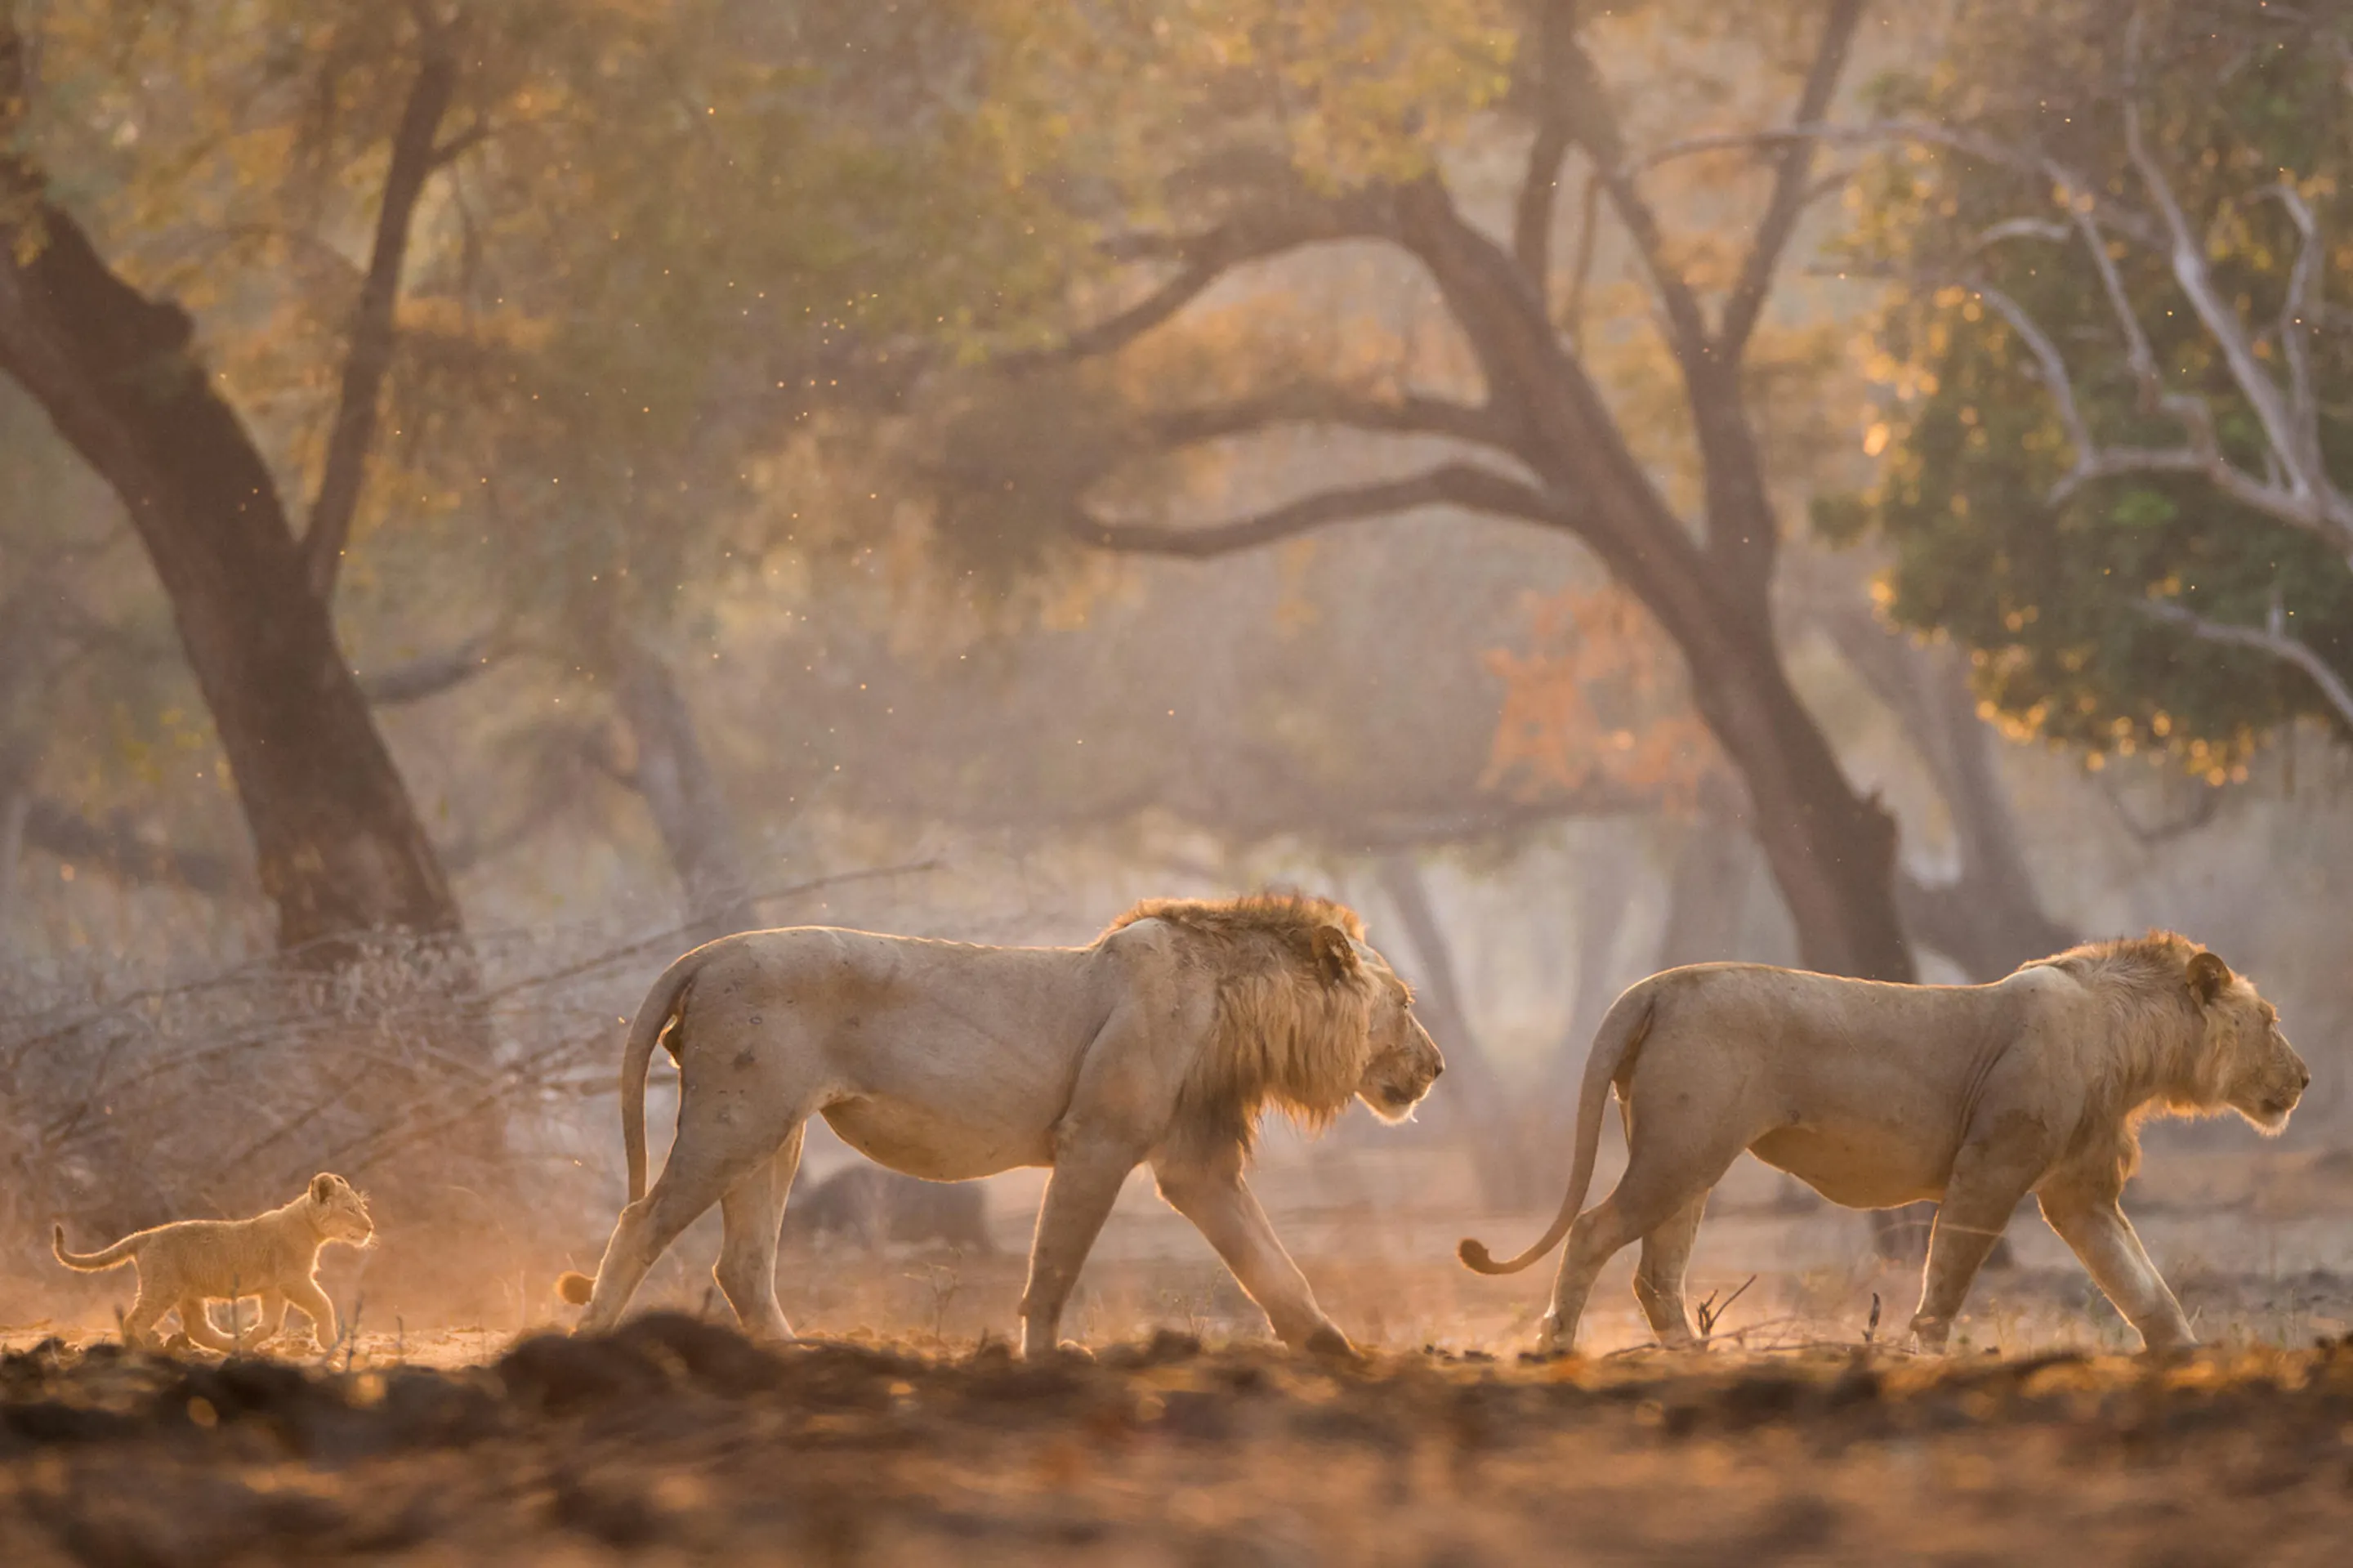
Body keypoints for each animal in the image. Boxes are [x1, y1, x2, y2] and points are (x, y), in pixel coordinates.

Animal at [53, 1173, 375, 1352]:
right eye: (350, 1209)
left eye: (361, 1207)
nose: (370, 1227)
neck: (309, 1226)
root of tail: (146, 1235)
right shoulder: (293, 1278)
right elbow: (323, 1303)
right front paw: (329, 1339)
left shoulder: (273, 1288)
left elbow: (270, 1324)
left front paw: (250, 1338)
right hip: (162, 1287)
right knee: (136, 1320)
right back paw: (145, 1348)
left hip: (189, 1294)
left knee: (199, 1329)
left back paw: (232, 1344)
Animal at [554, 892, 1443, 1358]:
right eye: (1404, 1002)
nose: (1437, 1067)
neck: (1239, 1007)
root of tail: (707, 951)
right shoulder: (1098, 1139)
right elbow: (1055, 1261)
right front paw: (1046, 1357)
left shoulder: (1197, 1163)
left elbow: (1272, 1263)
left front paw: (1337, 1350)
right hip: (737, 1117)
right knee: (641, 1220)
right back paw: (589, 1342)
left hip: (776, 1130)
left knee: (741, 1264)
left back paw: (794, 1356)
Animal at [1460, 934, 2307, 1355]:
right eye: (2271, 1020)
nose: (2303, 1078)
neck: (2133, 1046)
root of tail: (1656, 983)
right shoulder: (1992, 1167)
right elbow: (1951, 1273)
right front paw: (1923, 1351)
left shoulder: (2080, 1193)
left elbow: (2144, 1287)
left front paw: (2190, 1358)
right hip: (1680, 1154)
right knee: (1591, 1231)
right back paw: (1557, 1345)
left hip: (1687, 1163)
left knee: (1655, 1273)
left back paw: (1694, 1358)